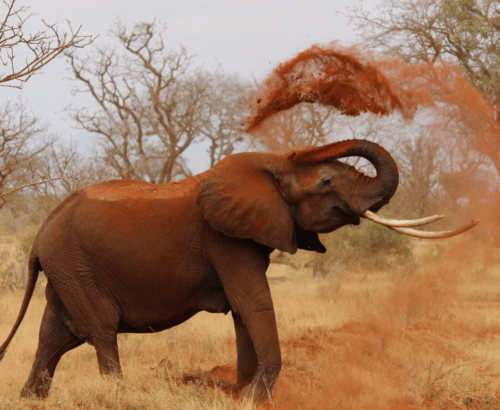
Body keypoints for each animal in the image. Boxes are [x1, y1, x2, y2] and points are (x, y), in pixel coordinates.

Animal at [0, 139, 476, 402]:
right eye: (325, 182)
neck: (271, 165)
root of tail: (41, 232)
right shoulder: (226, 241)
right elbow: (254, 303)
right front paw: (257, 398)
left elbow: (244, 311)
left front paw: (241, 395)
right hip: (75, 264)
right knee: (99, 330)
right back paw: (116, 394)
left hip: (67, 267)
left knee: (56, 334)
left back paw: (31, 400)